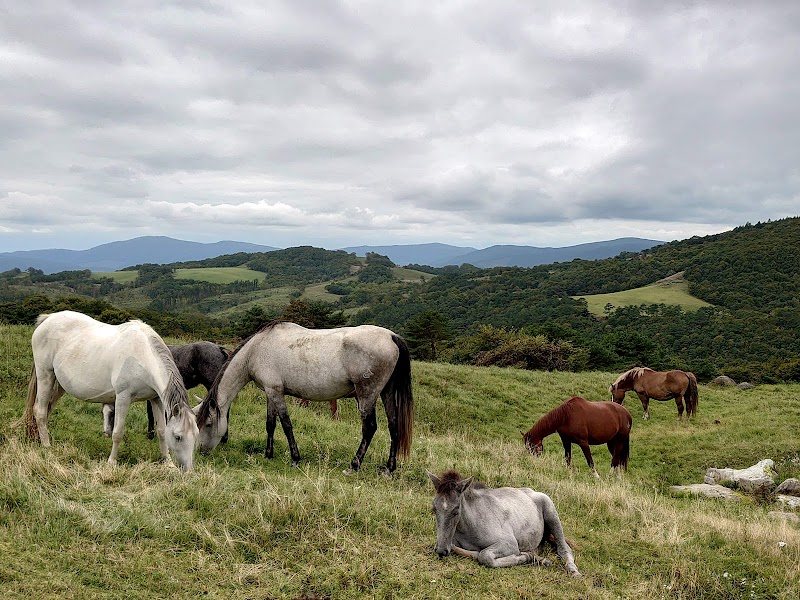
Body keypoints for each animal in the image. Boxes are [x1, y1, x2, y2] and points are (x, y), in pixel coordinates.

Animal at [23, 312, 200, 472]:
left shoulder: (156, 399)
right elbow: (118, 432)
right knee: (40, 411)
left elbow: (162, 432)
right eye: (178, 437)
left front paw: (168, 464)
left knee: (46, 409)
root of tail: (48, 319)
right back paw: (47, 447)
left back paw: (38, 438)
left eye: (196, 435)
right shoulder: (123, 398)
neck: (142, 355)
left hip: (59, 384)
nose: (188, 471)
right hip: (45, 376)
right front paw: (111, 462)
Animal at [197, 322, 416, 476]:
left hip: (367, 395)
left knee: (369, 428)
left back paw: (354, 466)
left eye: (208, 424)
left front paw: (295, 459)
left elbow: (286, 425)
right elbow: (270, 424)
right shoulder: (270, 393)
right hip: (386, 393)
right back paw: (389, 469)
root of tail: (392, 336)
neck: (257, 349)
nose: (201, 451)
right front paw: (268, 454)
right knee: (393, 426)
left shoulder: (276, 392)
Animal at [424, 468, 580, 576]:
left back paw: (573, 571)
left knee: (564, 549)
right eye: (434, 507)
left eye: (456, 509)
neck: (469, 526)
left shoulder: (509, 544)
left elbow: (484, 556)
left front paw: (524, 557)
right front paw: (533, 557)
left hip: (552, 515)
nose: (441, 551)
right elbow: (460, 549)